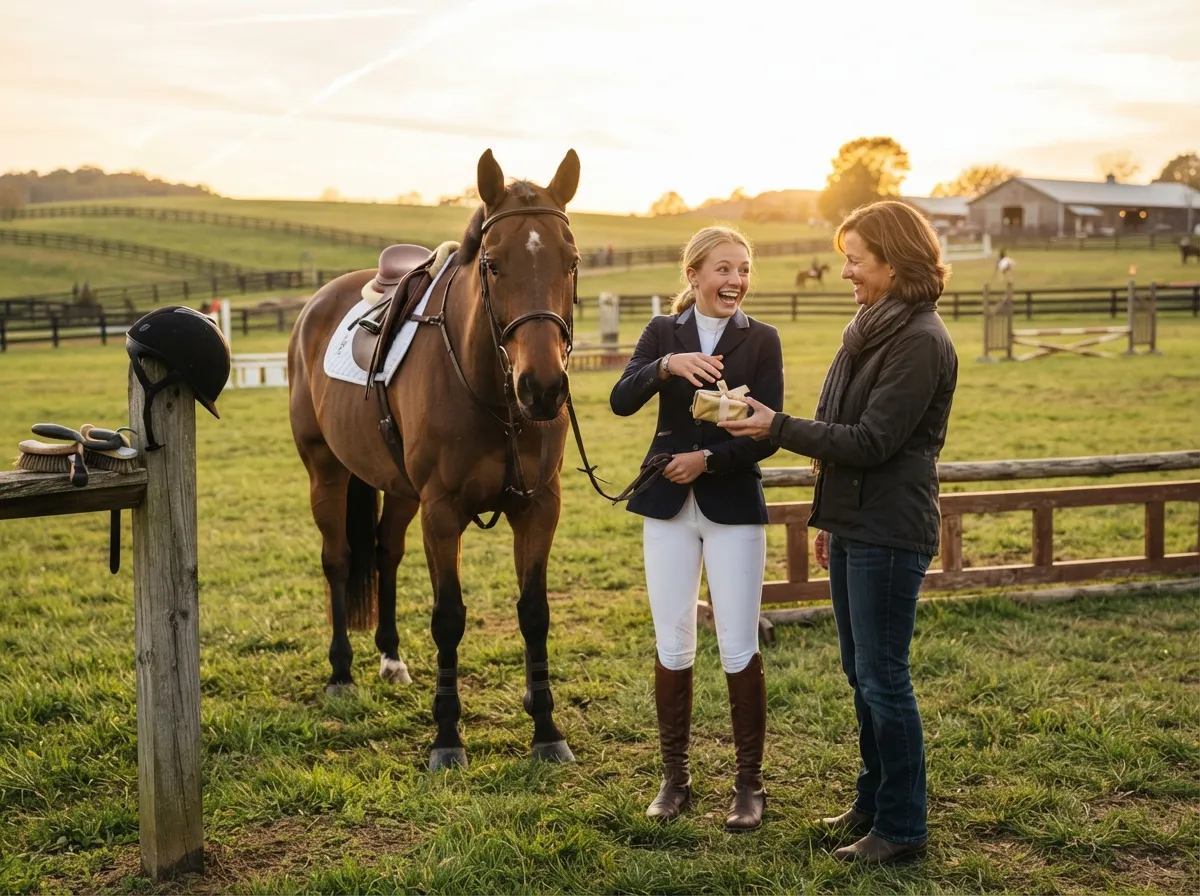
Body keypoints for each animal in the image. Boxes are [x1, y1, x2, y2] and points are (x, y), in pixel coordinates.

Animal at [287, 148, 581, 770]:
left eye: (571, 261)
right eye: (492, 264)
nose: (543, 388)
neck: (494, 392)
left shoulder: (539, 507)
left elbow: (534, 612)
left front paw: (546, 728)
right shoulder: (442, 512)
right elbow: (449, 618)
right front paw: (447, 737)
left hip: (399, 490)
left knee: (385, 552)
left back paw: (391, 658)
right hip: (326, 472)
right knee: (339, 559)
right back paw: (341, 673)